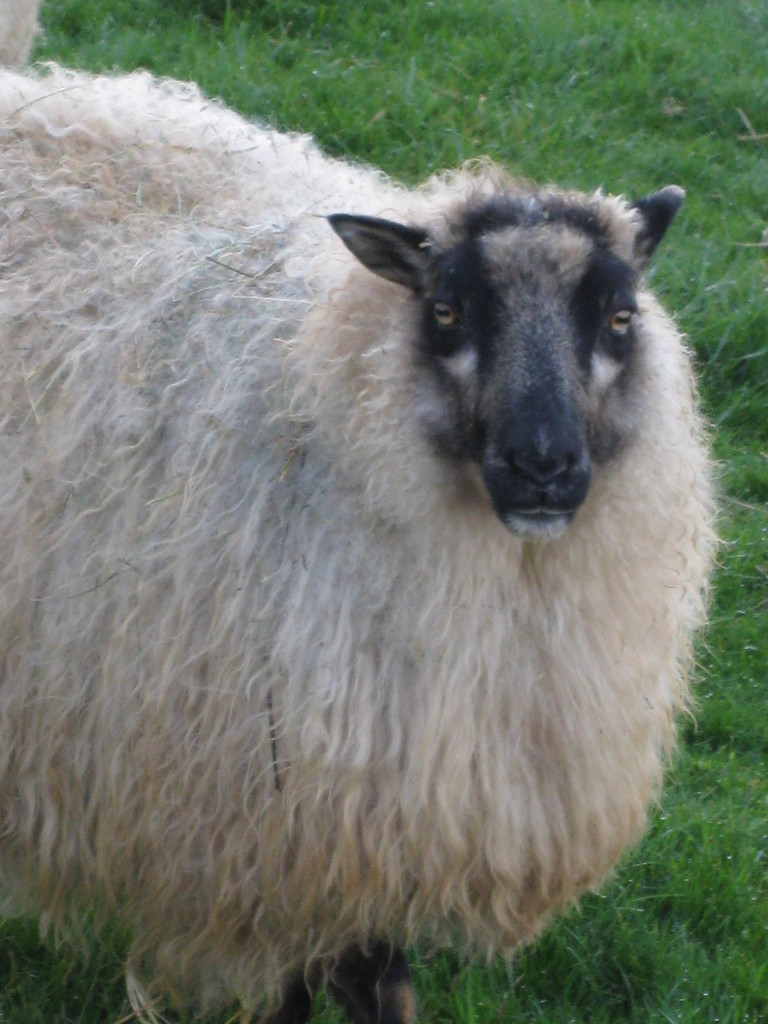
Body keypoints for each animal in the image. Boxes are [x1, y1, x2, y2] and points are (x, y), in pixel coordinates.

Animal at [0, 64, 716, 1022]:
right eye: (446, 312)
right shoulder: (287, 825)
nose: (543, 467)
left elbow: (384, 985)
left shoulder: (388, 816)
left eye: (620, 320)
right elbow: (306, 992)